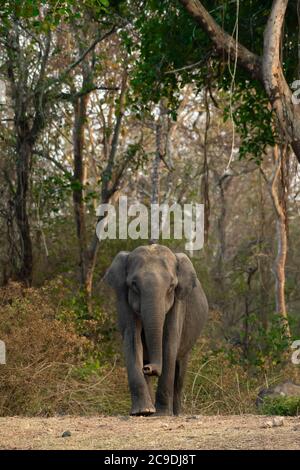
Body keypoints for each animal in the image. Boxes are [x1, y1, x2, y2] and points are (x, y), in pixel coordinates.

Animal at [104, 242, 207, 414]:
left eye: (171, 286)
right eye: (134, 285)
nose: (148, 368)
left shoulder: (179, 302)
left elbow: (170, 342)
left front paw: (163, 413)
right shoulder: (123, 299)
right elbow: (132, 340)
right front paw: (143, 411)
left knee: (180, 372)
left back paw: (175, 413)